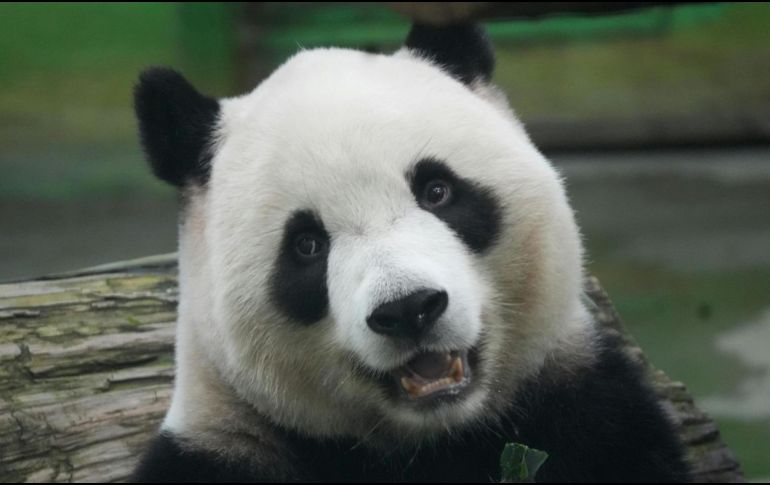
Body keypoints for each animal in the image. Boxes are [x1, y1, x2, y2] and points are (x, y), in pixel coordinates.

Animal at [131, 22, 691, 482]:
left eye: (436, 191)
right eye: (307, 244)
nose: (408, 309)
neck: (437, 438)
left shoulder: (583, 407)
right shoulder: (228, 443)